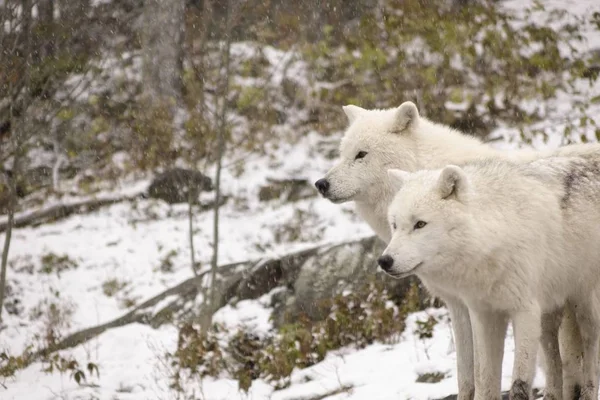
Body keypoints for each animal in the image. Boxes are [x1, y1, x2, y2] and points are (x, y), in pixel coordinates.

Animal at [382, 158, 600, 398]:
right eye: (394, 225)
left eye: (420, 224)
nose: (384, 261)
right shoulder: (484, 315)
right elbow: (484, 380)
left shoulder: (525, 312)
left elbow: (519, 385)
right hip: (548, 317)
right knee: (554, 361)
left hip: (585, 309)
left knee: (591, 356)